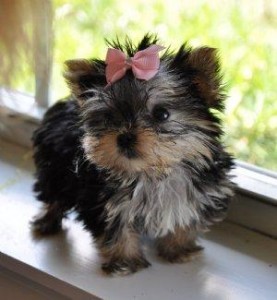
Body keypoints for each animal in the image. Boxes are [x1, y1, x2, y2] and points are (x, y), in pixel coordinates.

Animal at [31, 34, 234, 276]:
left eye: (161, 114)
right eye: (109, 117)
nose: (125, 137)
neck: (153, 173)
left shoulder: (197, 195)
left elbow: (185, 219)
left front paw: (179, 249)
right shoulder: (103, 201)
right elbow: (117, 229)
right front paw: (125, 261)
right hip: (54, 165)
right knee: (53, 194)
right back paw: (47, 220)